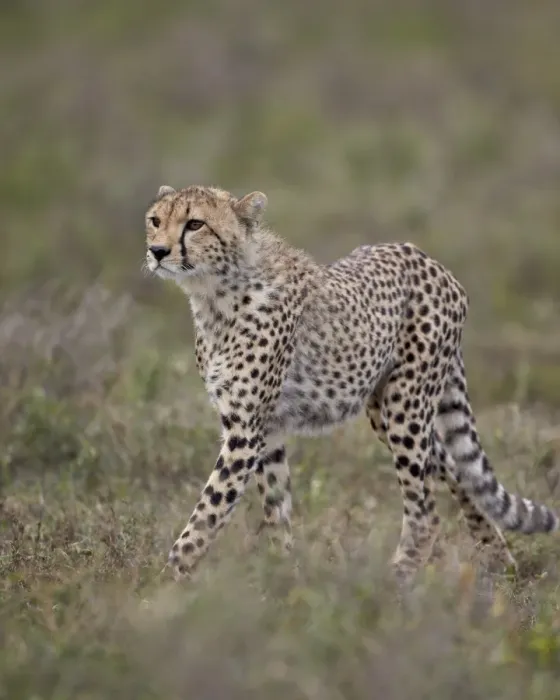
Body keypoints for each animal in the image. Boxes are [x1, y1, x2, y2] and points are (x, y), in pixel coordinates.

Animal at [144, 183, 559, 584]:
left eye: (195, 224)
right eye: (155, 220)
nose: (157, 251)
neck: (214, 295)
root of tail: (426, 257)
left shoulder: (245, 433)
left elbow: (207, 511)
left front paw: (164, 583)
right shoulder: (267, 429)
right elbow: (276, 509)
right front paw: (285, 576)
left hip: (405, 407)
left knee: (425, 511)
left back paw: (396, 581)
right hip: (385, 411)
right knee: (458, 472)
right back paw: (501, 559)